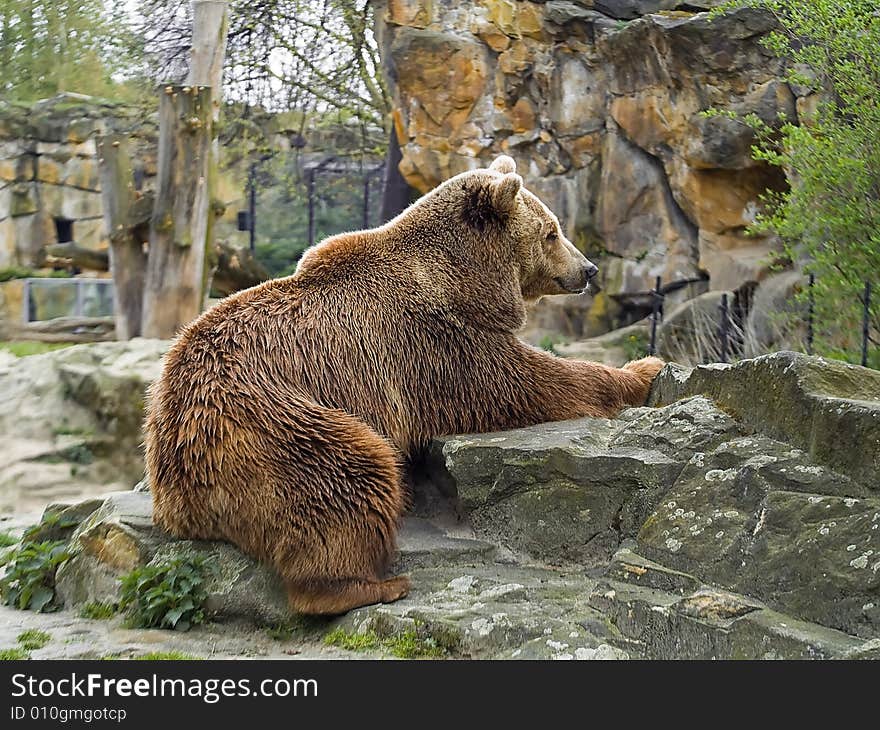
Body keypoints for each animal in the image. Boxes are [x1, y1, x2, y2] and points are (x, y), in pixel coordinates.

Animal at [144, 155, 664, 616]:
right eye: (551, 232)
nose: (588, 269)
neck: (463, 277)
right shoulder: (432, 341)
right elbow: (525, 382)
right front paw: (645, 368)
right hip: (268, 424)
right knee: (348, 475)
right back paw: (373, 584)